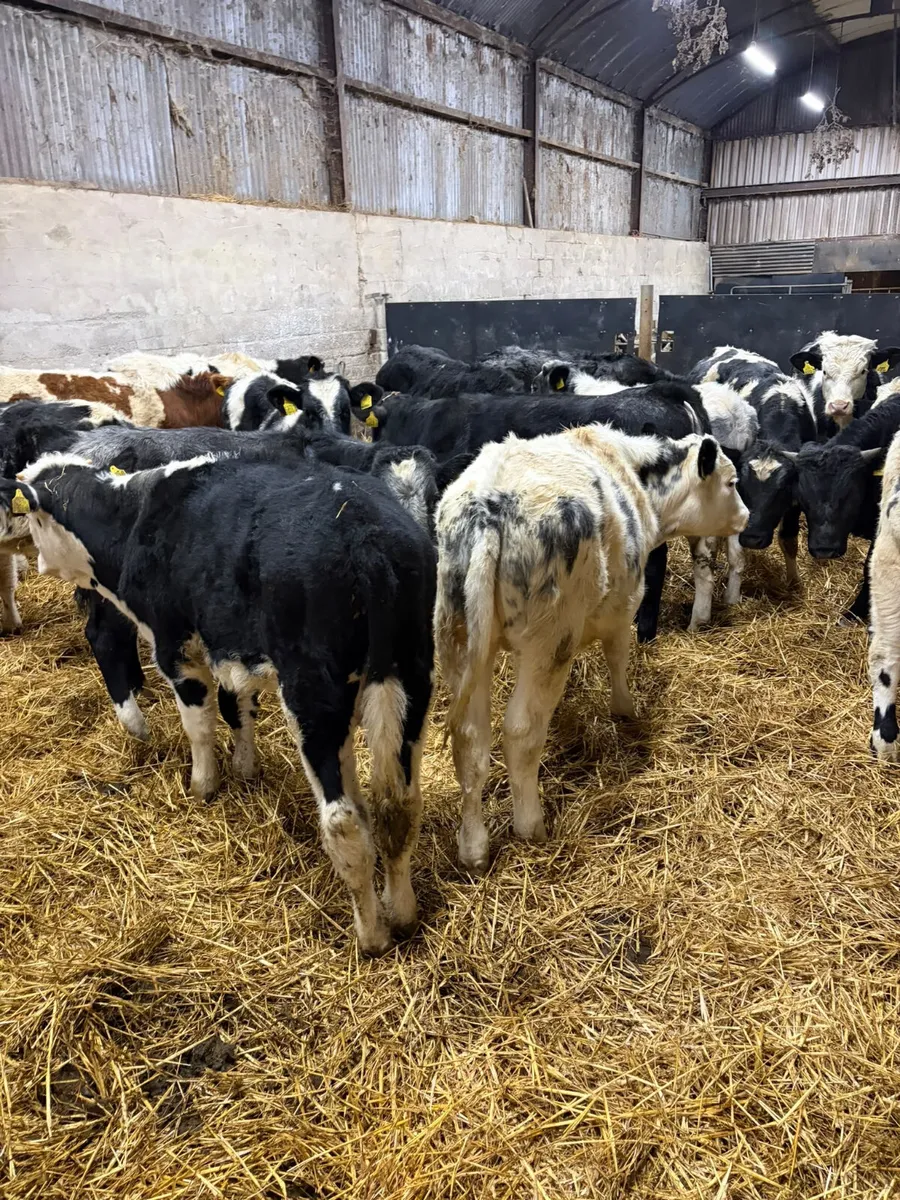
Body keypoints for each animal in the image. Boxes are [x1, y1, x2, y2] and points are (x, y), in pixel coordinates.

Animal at [4, 453, 436, 954]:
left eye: (30, 515)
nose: (26, 554)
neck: (134, 519)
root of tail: (366, 534)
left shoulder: (178, 648)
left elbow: (201, 725)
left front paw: (203, 784)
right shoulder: (228, 646)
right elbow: (238, 709)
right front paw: (246, 769)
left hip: (315, 695)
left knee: (345, 823)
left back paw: (372, 935)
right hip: (410, 673)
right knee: (397, 806)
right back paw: (400, 913)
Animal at [434, 425, 748, 873]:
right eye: (732, 483)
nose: (746, 516)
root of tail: (489, 507)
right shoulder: (625, 602)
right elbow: (617, 657)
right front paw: (626, 709)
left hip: (460, 639)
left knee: (471, 740)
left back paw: (473, 848)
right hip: (549, 642)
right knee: (520, 732)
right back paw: (531, 826)